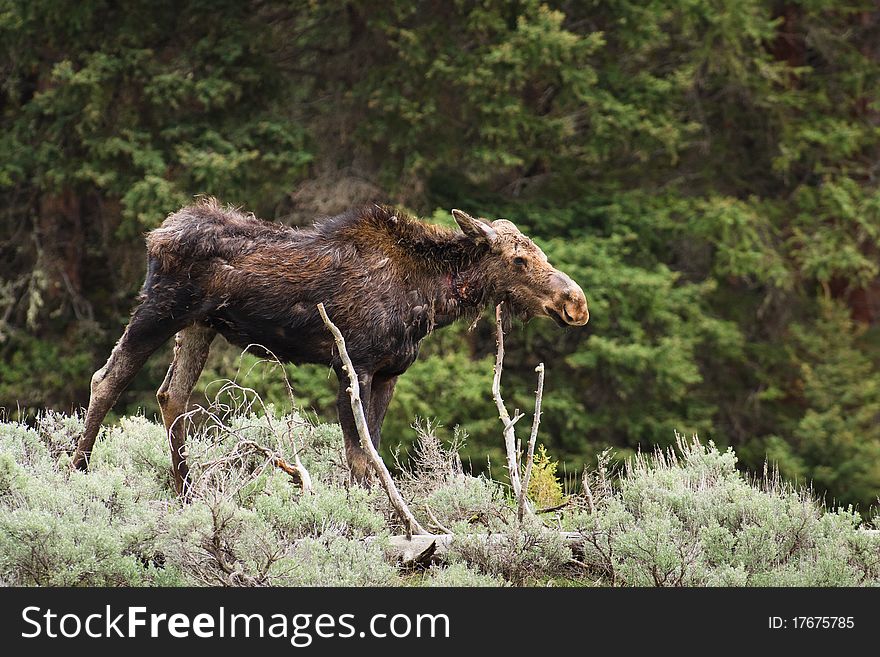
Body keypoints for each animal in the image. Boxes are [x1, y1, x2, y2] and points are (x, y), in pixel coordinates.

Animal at [70, 200, 592, 492]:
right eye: (520, 260)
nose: (576, 302)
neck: (428, 299)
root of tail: (157, 234)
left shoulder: (389, 372)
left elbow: (374, 452)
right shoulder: (353, 365)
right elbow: (359, 456)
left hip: (200, 325)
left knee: (171, 395)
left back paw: (186, 493)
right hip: (160, 309)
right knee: (107, 378)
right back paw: (77, 470)